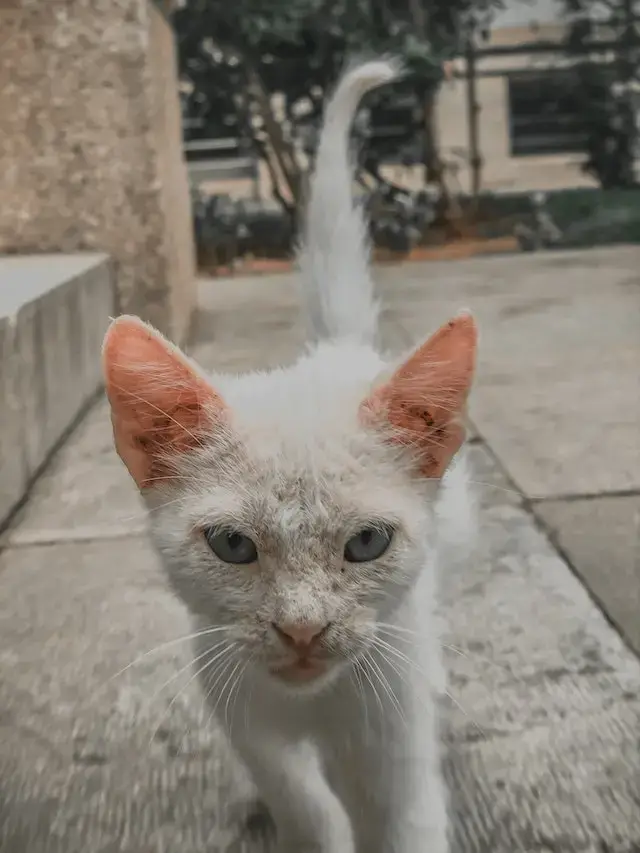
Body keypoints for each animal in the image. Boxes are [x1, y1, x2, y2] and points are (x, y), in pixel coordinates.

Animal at [102, 58, 478, 852]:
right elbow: (297, 794)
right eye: (231, 544)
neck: (315, 703)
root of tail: (334, 351)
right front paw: (305, 817)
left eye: (367, 542)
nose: (302, 630)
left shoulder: (389, 731)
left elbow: (403, 816)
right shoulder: (238, 700)